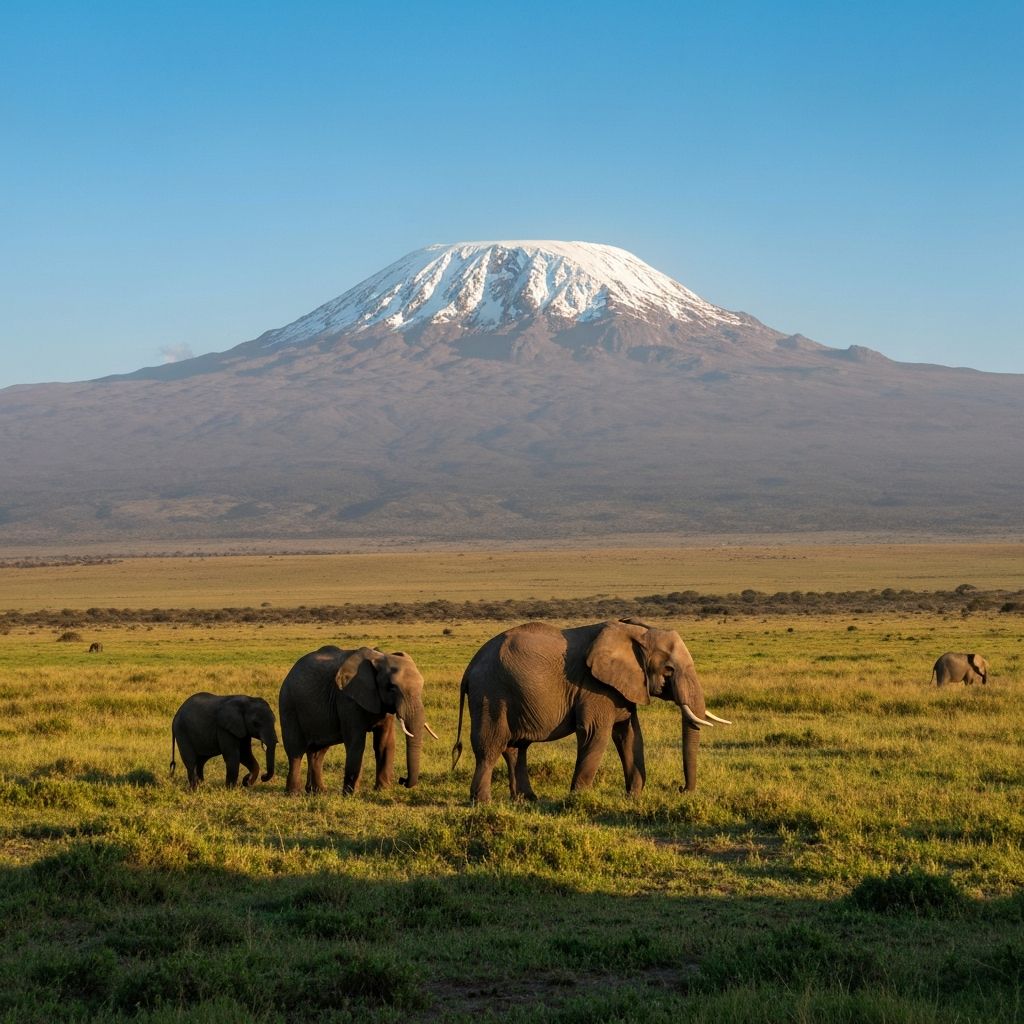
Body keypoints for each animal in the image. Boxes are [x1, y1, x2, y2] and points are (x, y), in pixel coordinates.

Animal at [278, 645, 437, 795]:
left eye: (421, 686)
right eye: (392, 688)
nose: (402, 780)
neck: (380, 658)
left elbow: (385, 743)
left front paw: (383, 790)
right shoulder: (347, 699)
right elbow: (356, 742)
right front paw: (351, 794)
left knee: (318, 751)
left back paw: (318, 792)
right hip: (288, 704)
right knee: (295, 751)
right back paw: (294, 793)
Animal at [451, 618, 730, 803]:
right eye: (669, 669)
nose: (682, 790)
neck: (636, 632)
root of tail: (469, 669)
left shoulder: (622, 687)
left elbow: (629, 734)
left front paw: (633, 797)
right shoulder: (594, 686)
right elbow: (595, 733)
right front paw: (579, 798)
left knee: (516, 748)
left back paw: (526, 799)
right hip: (491, 694)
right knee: (490, 746)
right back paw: (482, 802)